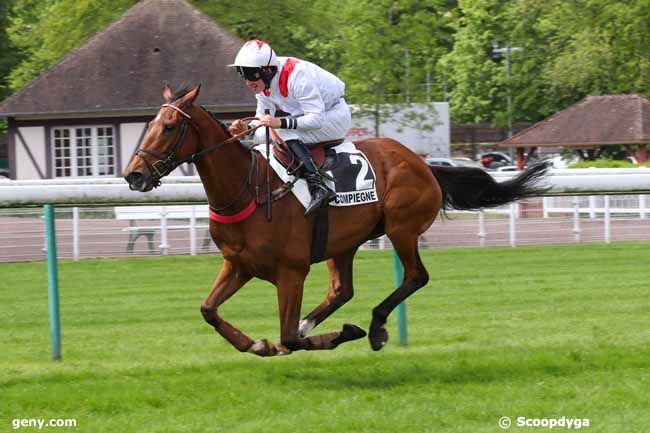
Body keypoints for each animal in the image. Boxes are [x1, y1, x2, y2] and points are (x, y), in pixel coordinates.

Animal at [123, 83, 548, 354]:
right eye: (149, 124)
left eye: (170, 127)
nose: (134, 175)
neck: (250, 190)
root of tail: (425, 165)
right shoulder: (238, 265)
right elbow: (209, 311)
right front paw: (256, 343)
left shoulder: (291, 272)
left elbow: (288, 338)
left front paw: (338, 333)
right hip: (342, 242)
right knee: (342, 290)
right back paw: (326, 322)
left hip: (402, 228)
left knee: (415, 276)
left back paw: (375, 328)